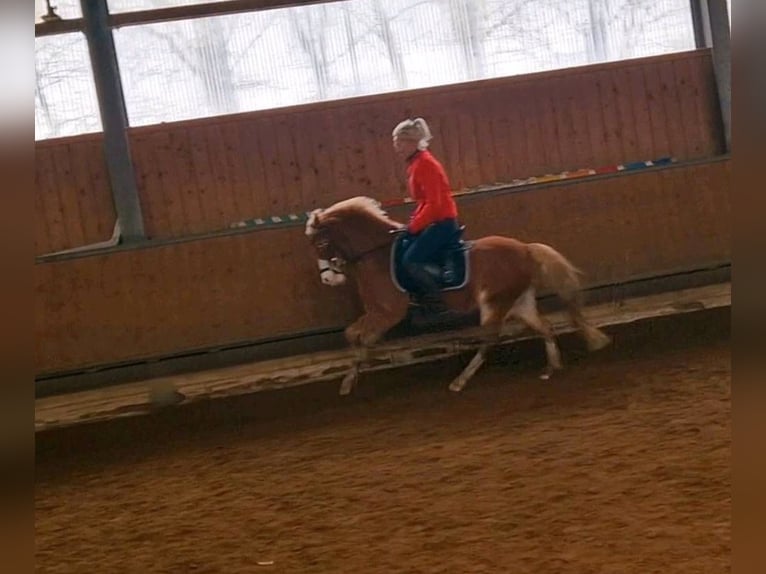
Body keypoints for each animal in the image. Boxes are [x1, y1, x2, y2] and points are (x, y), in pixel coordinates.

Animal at [306, 198, 612, 396]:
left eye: (321, 242)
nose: (328, 279)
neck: (377, 255)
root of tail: (525, 249)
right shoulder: (375, 312)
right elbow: (352, 335)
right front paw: (352, 377)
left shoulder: (388, 312)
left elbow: (359, 337)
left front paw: (350, 380)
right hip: (519, 301)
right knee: (544, 327)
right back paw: (552, 367)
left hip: (494, 303)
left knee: (490, 339)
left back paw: (460, 381)